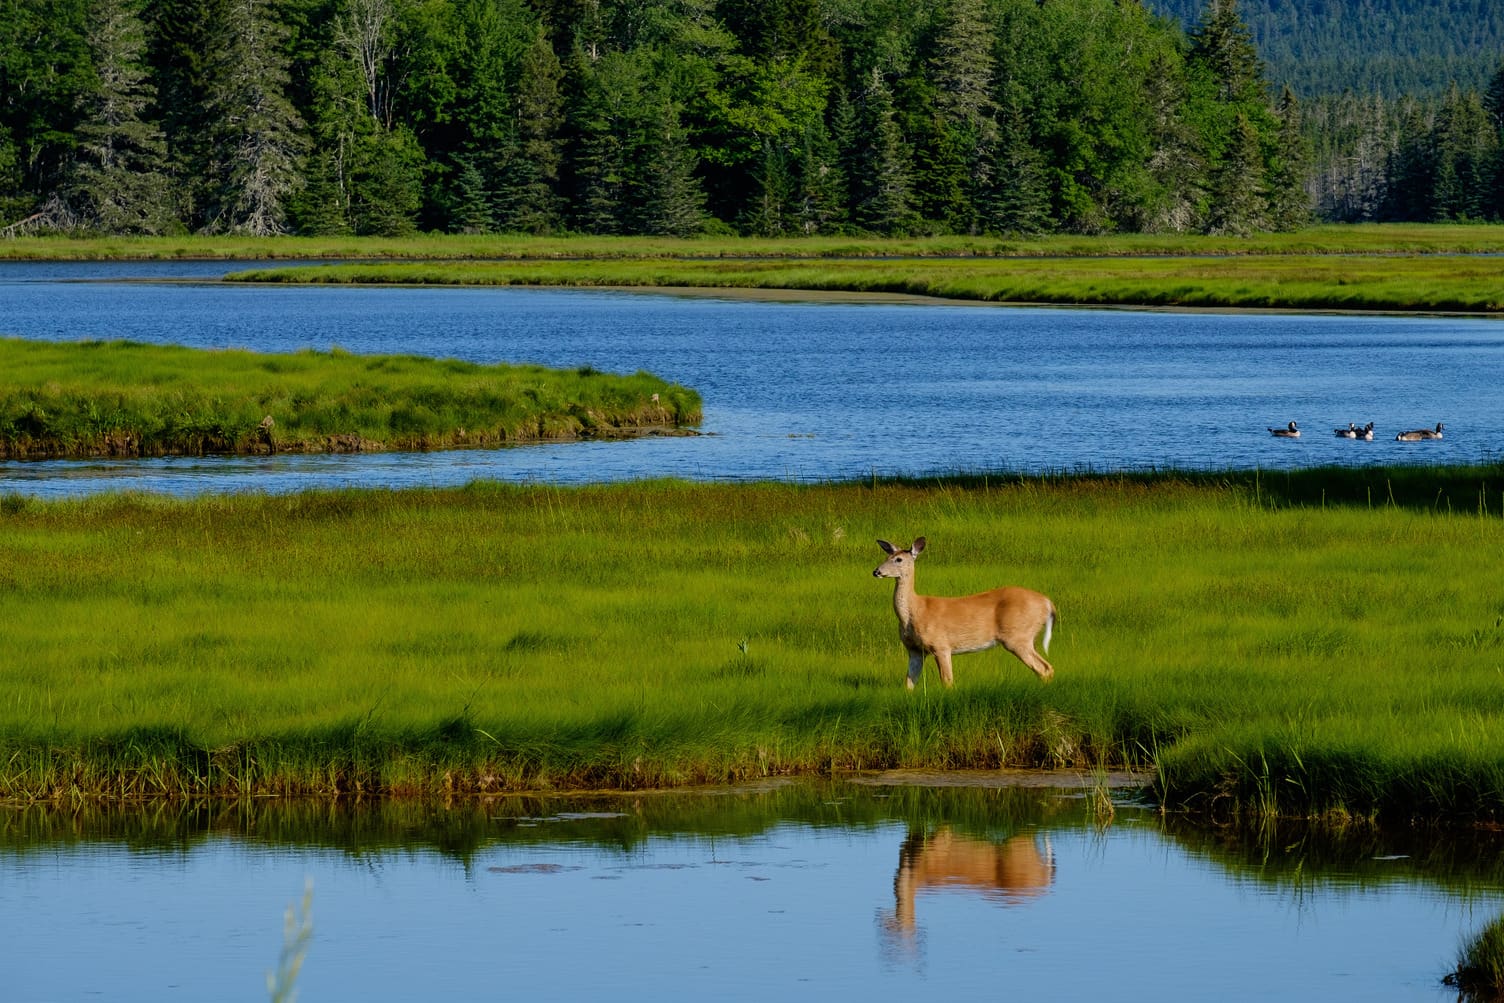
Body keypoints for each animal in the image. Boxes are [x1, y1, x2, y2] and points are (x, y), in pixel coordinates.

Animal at [872, 537, 1057, 688]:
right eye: (886, 557)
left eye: (898, 559)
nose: (876, 571)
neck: (915, 611)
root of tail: (1048, 603)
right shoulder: (914, 650)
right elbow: (909, 683)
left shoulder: (941, 645)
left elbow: (947, 682)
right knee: (1046, 668)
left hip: (1018, 636)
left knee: (1044, 668)